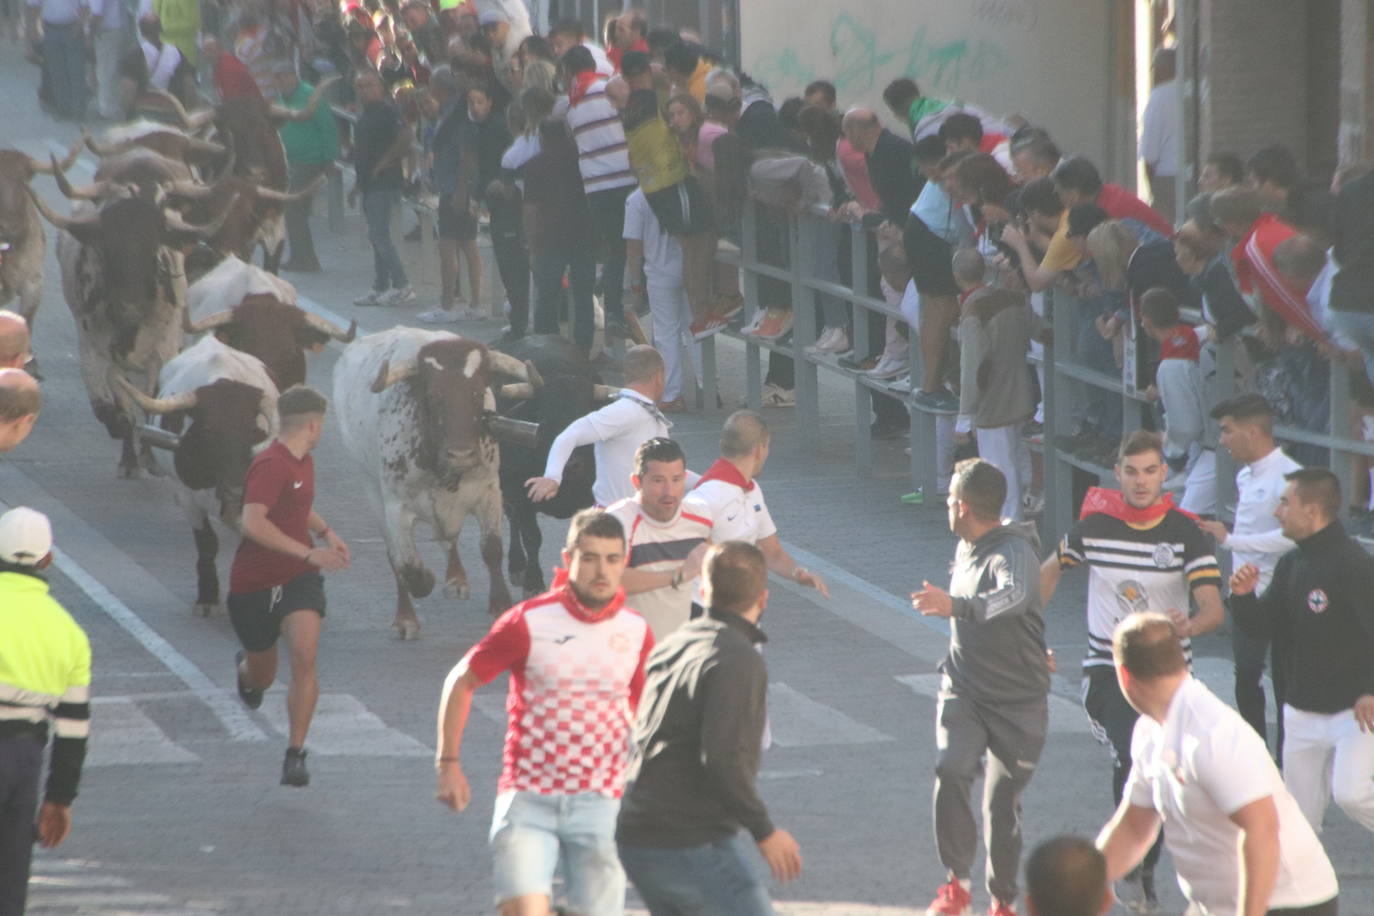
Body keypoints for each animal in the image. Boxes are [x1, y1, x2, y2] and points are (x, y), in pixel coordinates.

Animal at [114, 336, 277, 615]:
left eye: (252, 431)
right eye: (209, 430)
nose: (234, 489)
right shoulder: (189, 497)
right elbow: (208, 543)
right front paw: (208, 597)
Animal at [332, 328, 541, 637]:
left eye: (477, 392)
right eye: (432, 395)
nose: (461, 454)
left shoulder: (490, 491)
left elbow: (491, 549)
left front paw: (501, 605)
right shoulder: (395, 508)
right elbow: (407, 564)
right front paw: (424, 582)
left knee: (448, 539)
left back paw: (456, 580)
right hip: (371, 490)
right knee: (395, 555)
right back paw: (405, 617)